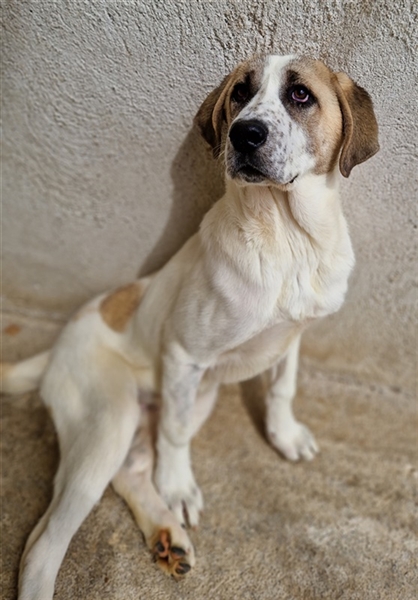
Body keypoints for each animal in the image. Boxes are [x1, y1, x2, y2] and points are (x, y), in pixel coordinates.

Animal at [2, 54, 378, 600]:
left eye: (300, 95)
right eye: (240, 93)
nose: (245, 134)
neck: (287, 240)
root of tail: (56, 348)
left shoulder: (292, 337)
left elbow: (282, 387)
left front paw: (284, 435)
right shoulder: (184, 355)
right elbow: (176, 435)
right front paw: (179, 485)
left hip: (193, 400)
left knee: (131, 472)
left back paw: (166, 537)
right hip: (111, 419)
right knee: (44, 540)